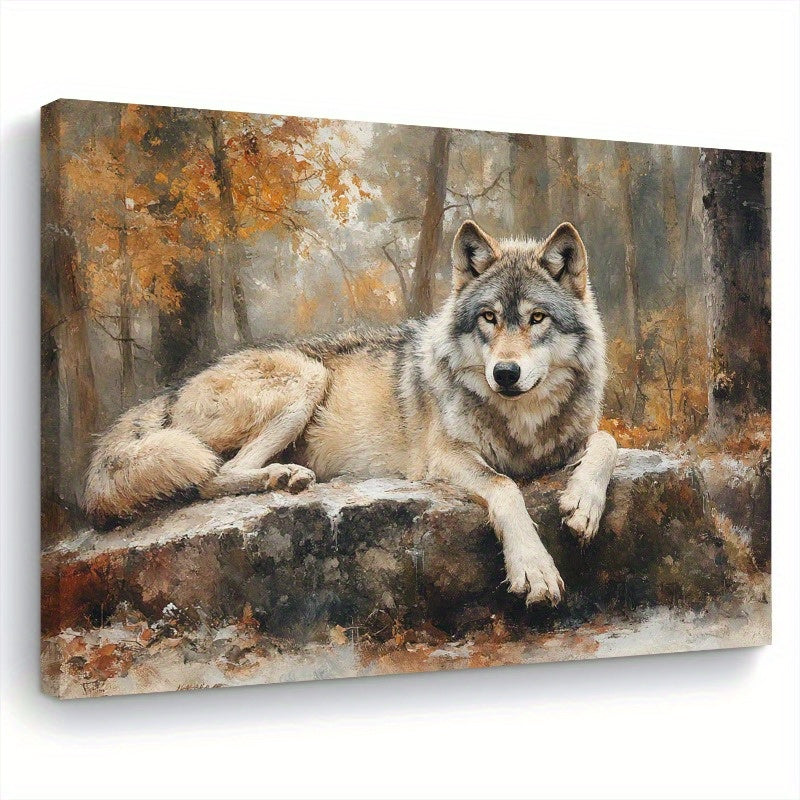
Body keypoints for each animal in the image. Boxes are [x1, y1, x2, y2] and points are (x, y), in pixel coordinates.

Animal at [85, 221, 618, 606]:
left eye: (536, 318)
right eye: (489, 318)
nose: (505, 373)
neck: (520, 421)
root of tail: (169, 393)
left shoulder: (570, 440)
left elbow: (608, 441)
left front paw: (583, 505)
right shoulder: (443, 458)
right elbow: (505, 486)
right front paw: (535, 568)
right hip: (306, 378)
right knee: (213, 475)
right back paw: (282, 477)